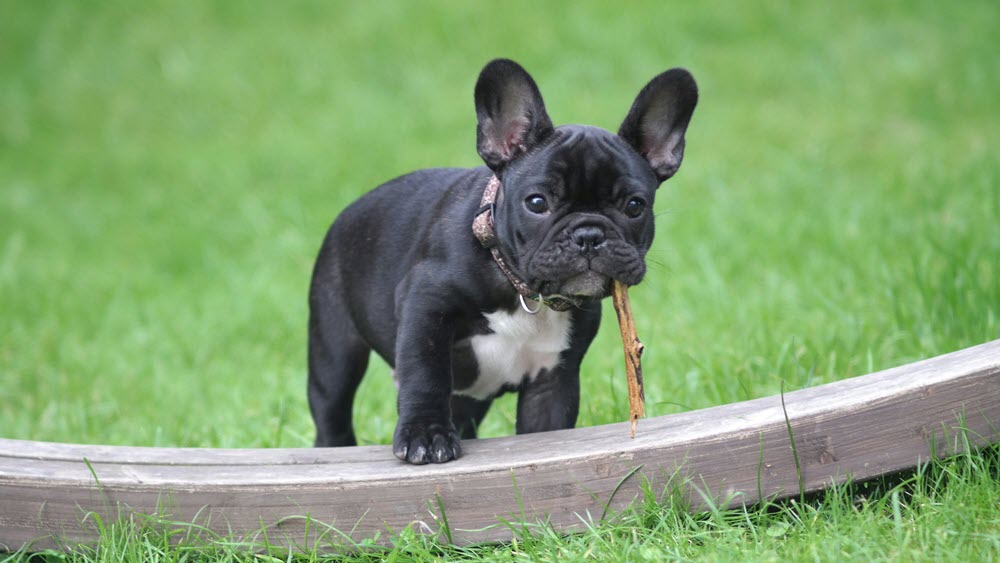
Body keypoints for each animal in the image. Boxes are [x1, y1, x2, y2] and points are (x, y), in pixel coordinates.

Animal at [308, 57, 700, 464]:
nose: (589, 235)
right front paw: (425, 435)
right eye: (537, 203)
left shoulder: (552, 381)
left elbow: (548, 428)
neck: (520, 289)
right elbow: (425, 373)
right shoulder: (425, 306)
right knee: (332, 407)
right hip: (335, 349)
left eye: (635, 206)